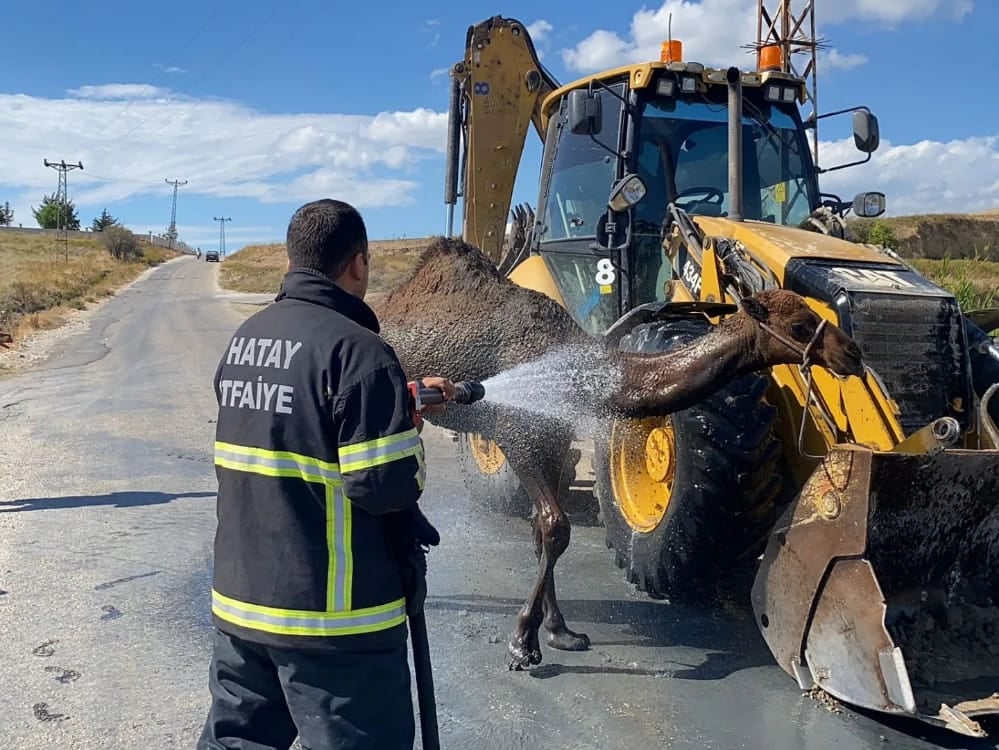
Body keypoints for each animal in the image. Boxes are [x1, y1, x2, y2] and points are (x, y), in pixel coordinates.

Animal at [372, 236, 864, 668]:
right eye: (799, 325)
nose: (853, 354)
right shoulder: (519, 433)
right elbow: (555, 526)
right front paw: (523, 643)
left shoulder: (555, 437)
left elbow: (542, 530)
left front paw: (560, 632)